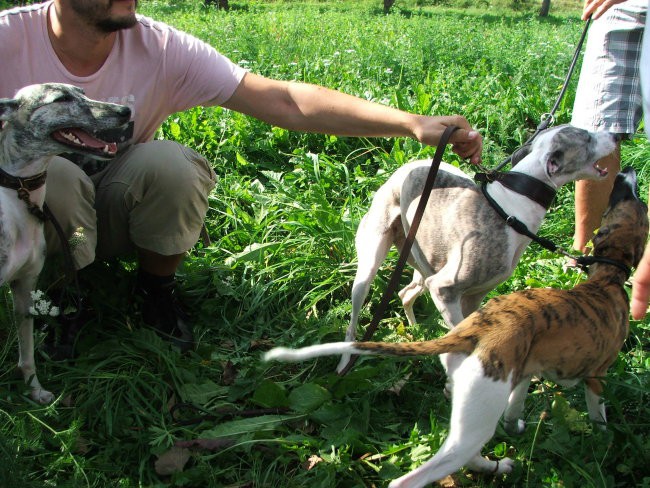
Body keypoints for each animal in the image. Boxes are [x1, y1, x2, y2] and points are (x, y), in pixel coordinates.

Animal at [0, 83, 132, 404]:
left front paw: (35, 390)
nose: (125, 111)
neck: (17, 193)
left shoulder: (24, 287)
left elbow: (27, 353)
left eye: (82, 92)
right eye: (60, 99)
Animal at [336, 124, 616, 372]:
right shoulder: (443, 288)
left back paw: (414, 330)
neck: (512, 208)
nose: (616, 135)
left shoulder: (473, 296)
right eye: (586, 136)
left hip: (422, 258)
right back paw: (344, 361)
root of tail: (406, 166)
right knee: (354, 316)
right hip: (373, 263)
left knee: (405, 292)